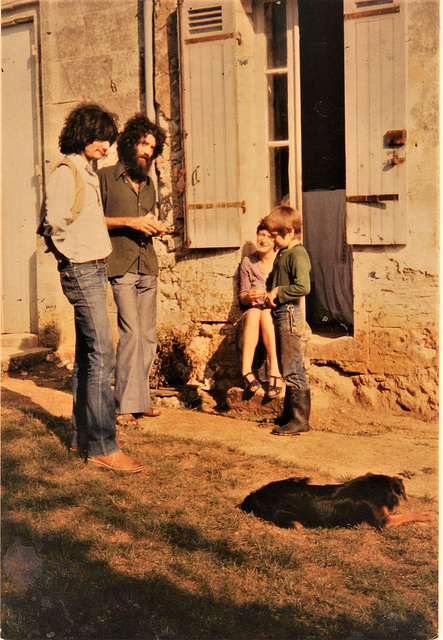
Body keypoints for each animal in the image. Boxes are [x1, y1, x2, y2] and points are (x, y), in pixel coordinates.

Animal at [241, 470, 436, 528]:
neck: (373, 487)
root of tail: (255, 495)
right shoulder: (384, 521)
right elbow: (411, 514)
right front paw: (432, 514)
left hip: (299, 479)